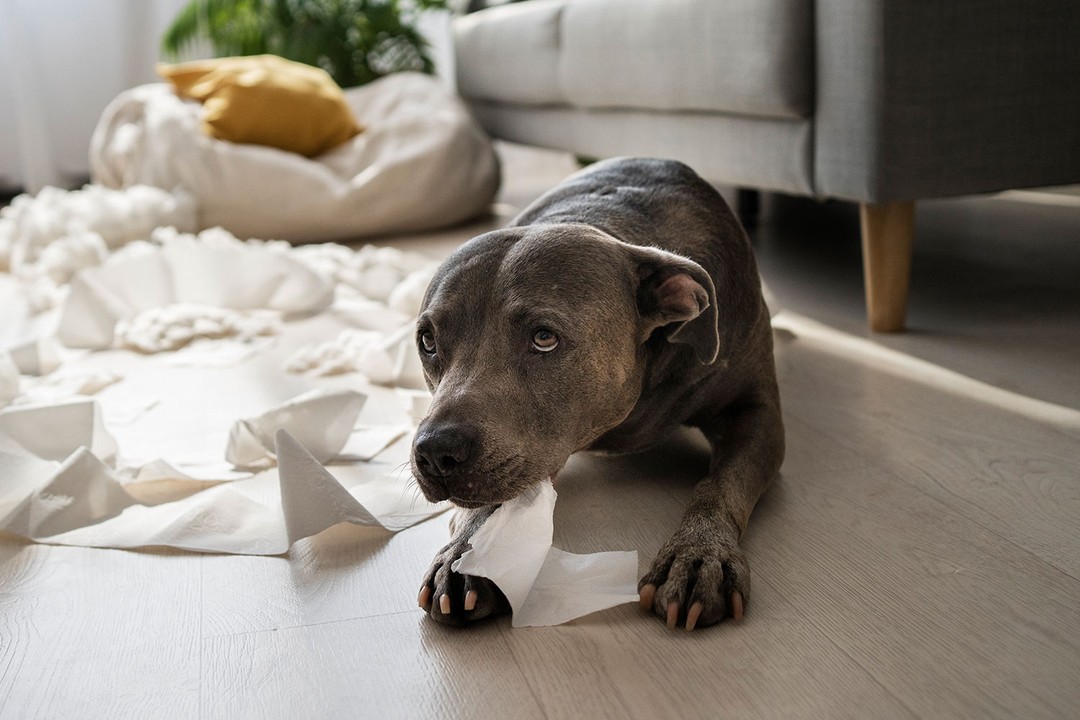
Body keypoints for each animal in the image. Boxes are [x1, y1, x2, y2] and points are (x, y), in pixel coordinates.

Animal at [408, 158, 781, 630]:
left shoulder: (756, 413)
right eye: (428, 341)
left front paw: (699, 554)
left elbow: (721, 483)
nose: (436, 451)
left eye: (544, 338)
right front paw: (467, 555)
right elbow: (489, 503)